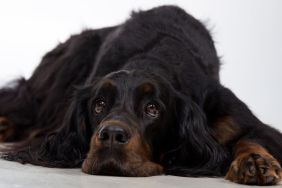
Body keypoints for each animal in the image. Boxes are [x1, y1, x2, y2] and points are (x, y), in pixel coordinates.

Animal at [0, 5, 282, 185]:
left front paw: (254, 161)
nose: (111, 135)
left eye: (152, 109)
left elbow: (252, 136)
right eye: (99, 105)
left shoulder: (229, 111)